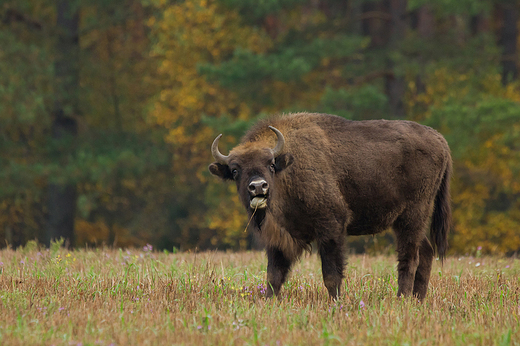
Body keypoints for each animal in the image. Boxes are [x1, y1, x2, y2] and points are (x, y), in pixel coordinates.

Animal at [208, 112, 450, 298]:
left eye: (271, 165)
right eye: (235, 170)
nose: (258, 187)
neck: (289, 170)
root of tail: (440, 140)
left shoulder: (331, 227)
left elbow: (331, 274)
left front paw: (335, 302)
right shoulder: (278, 239)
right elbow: (273, 276)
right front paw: (269, 302)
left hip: (412, 216)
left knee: (409, 258)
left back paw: (402, 299)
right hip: (410, 222)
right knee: (425, 252)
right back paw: (418, 299)